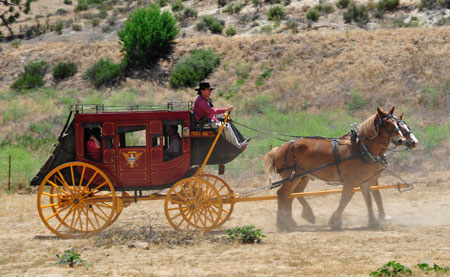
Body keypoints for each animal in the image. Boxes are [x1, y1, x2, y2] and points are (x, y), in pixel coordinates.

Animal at [264, 106, 408, 230]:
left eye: (397, 122)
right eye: (387, 123)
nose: (401, 140)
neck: (361, 148)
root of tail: (279, 149)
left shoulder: (365, 182)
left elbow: (369, 200)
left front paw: (373, 222)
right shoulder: (351, 182)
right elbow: (345, 199)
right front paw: (335, 221)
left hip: (300, 177)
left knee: (290, 195)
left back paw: (291, 220)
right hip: (292, 178)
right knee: (283, 194)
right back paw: (285, 223)